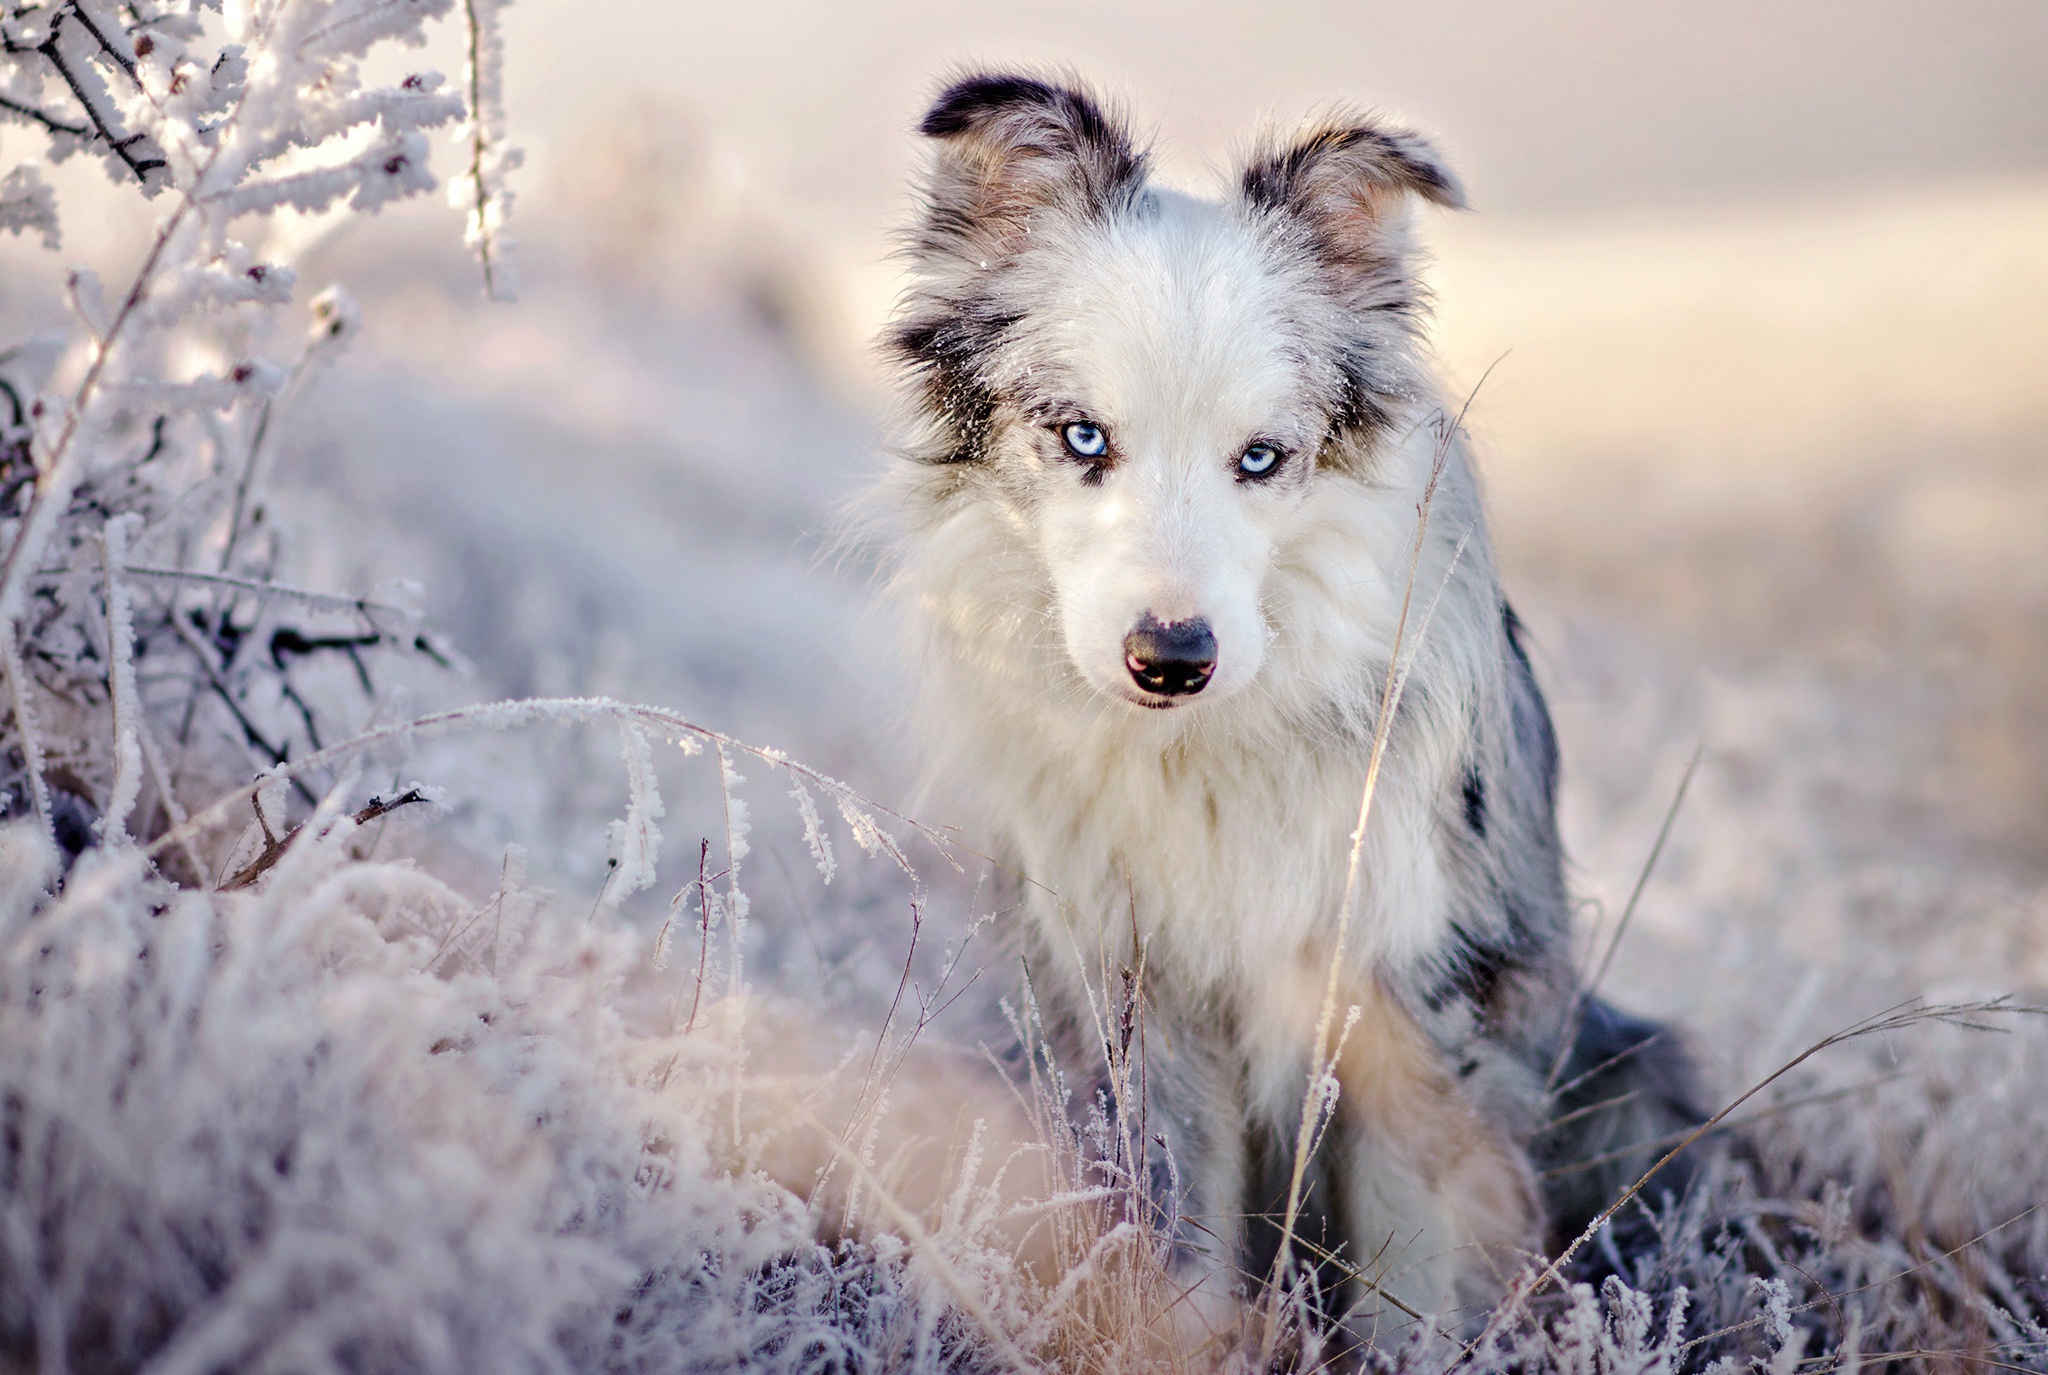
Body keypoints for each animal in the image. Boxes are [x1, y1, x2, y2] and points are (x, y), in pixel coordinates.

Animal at [872, 72, 1703, 1336]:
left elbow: (1412, 1271)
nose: (1171, 657)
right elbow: (1177, 1238)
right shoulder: (1139, 999)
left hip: (1628, 1074)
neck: (1209, 751)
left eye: (1260, 458)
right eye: (1081, 436)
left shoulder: (1409, 1000)